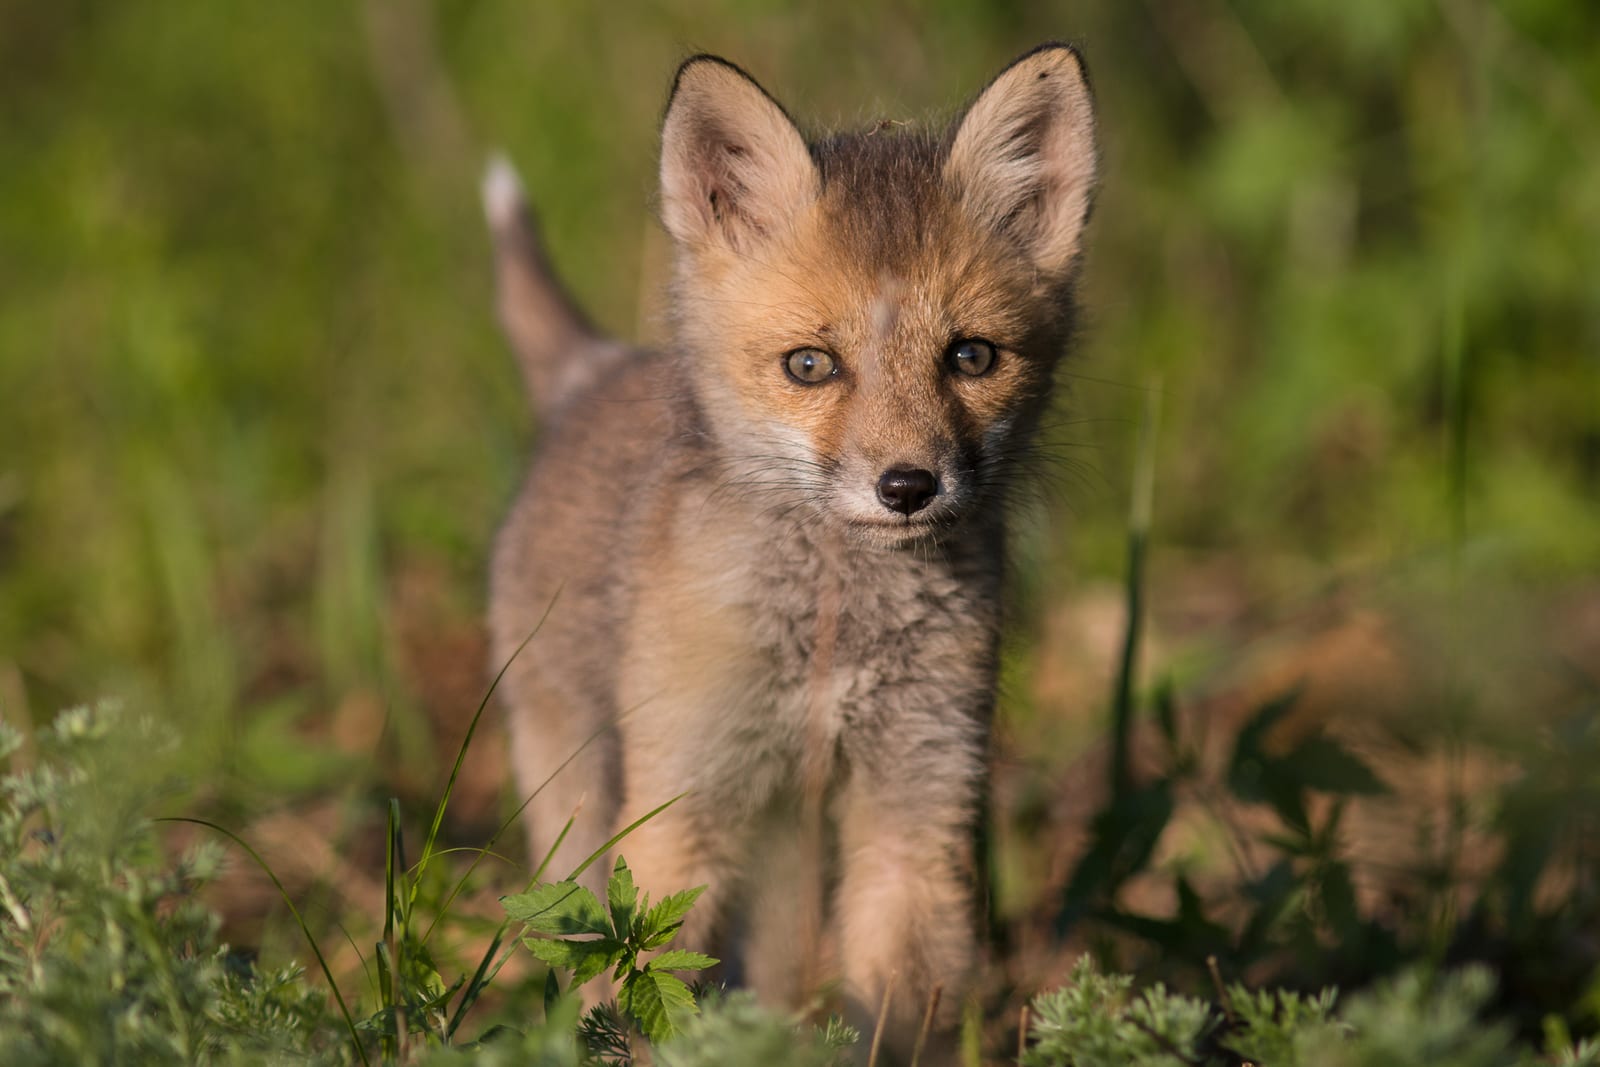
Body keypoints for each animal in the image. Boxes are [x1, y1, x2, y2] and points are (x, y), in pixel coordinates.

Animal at [483, 44, 1097, 1059]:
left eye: (971, 357)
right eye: (811, 365)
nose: (908, 486)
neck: (833, 635)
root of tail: (594, 370)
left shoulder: (919, 798)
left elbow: (898, 1002)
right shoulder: (682, 797)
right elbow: (639, 989)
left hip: (782, 838)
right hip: (582, 792)